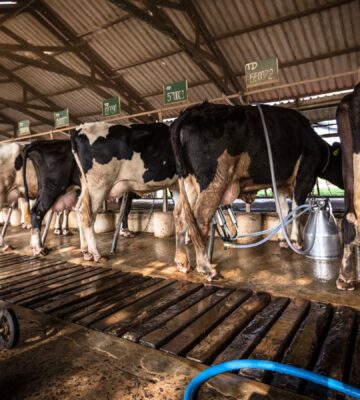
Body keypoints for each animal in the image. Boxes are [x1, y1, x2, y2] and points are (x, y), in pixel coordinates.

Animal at [71, 120, 178, 260]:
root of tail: (79, 129)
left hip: (86, 185)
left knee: (78, 210)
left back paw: (86, 251)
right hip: (99, 186)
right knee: (86, 214)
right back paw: (96, 253)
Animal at [171, 101, 344, 280]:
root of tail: (190, 111)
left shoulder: (279, 183)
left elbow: (283, 210)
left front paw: (284, 240)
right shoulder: (306, 176)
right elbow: (296, 210)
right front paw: (297, 242)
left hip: (189, 182)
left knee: (181, 215)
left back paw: (182, 262)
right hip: (214, 180)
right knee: (200, 218)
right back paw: (206, 268)